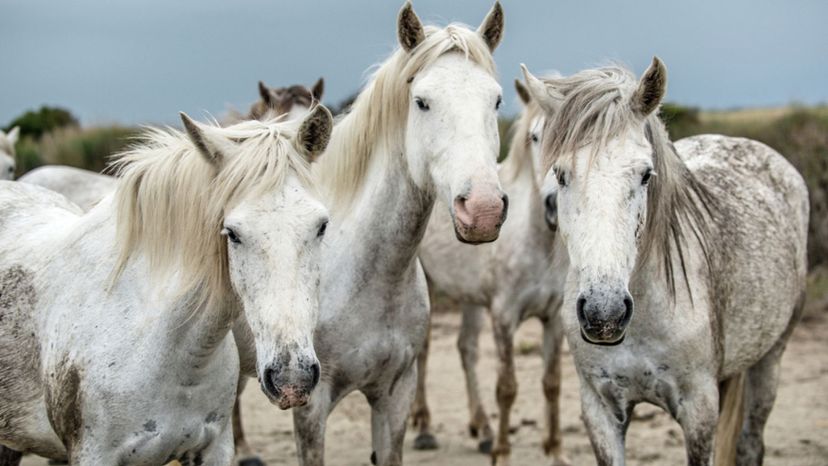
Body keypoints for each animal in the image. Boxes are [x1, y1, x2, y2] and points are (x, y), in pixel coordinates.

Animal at [414, 80, 568, 466]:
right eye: (534, 137)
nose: (554, 206)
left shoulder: (554, 318)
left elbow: (552, 384)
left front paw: (555, 451)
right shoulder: (503, 317)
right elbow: (507, 387)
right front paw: (501, 452)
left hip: (471, 297)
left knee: (466, 349)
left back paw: (481, 428)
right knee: (423, 350)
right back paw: (423, 428)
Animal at [524, 60, 808, 464]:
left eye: (645, 174)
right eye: (561, 174)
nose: (604, 314)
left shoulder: (699, 410)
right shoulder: (599, 410)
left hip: (770, 361)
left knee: (751, 444)